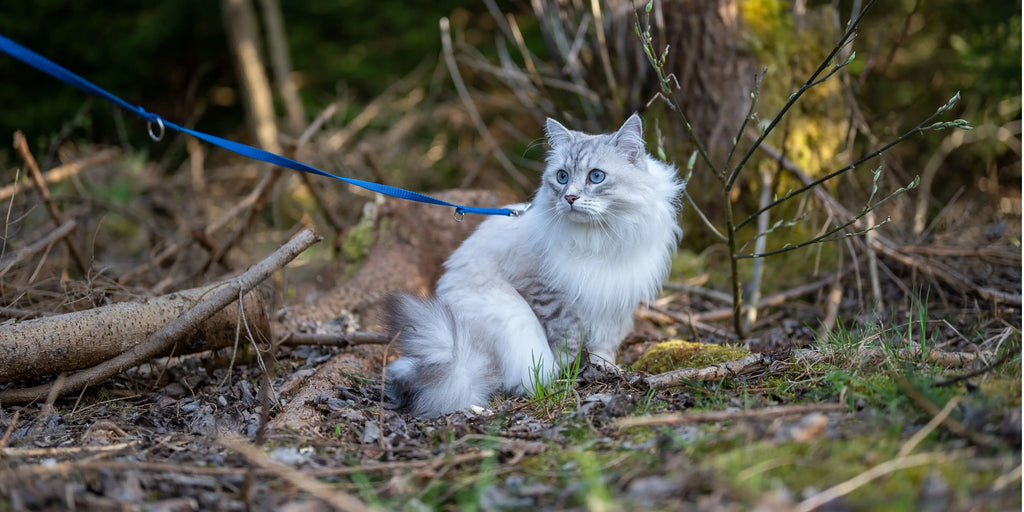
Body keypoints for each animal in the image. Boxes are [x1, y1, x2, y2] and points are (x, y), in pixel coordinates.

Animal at [382, 112, 679, 415]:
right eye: (562, 177)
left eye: (596, 176)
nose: (570, 197)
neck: (599, 238)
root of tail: (464, 354)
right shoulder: (543, 290)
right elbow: (568, 334)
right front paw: (570, 369)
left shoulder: (615, 299)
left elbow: (604, 345)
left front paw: (606, 369)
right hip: (512, 318)